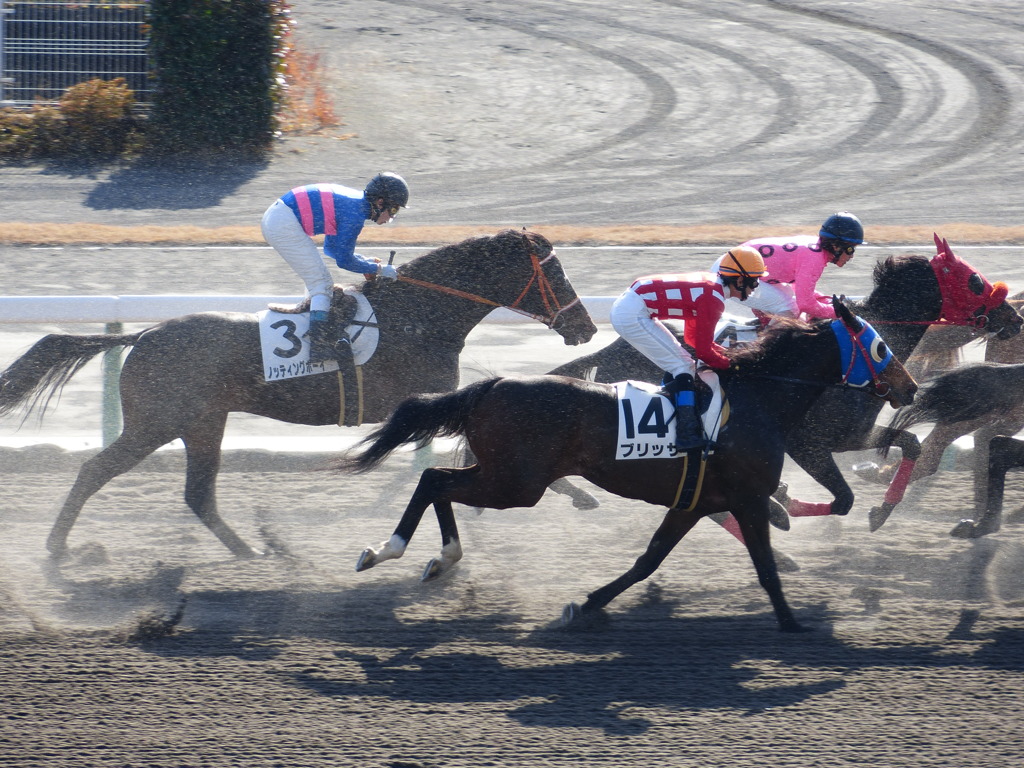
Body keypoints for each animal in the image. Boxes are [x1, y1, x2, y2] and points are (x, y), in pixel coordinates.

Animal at [0, 228, 598, 561]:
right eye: (557, 274)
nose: (586, 326)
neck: (424, 314)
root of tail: (144, 334)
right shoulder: (432, 402)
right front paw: (574, 491)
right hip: (157, 423)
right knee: (95, 471)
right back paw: (60, 547)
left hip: (203, 422)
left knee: (198, 495)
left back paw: (253, 551)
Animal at [339, 303, 917, 634]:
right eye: (879, 346)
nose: (910, 387)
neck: (761, 399)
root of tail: (494, 385)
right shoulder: (746, 497)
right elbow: (766, 566)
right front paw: (793, 621)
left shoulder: (695, 502)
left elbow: (649, 560)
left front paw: (587, 604)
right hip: (516, 484)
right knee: (436, 480)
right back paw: (393, 550)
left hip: (507, 477)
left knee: (437, 483)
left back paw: (437, 558)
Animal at [548, 236, 1019, 528]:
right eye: (975, 280)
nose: (1014, 317)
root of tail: (613, 350)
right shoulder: (808, 442)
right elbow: (840, 495)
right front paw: (785, 504)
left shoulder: (850, 435)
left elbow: (911, 444)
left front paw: (881, 511)